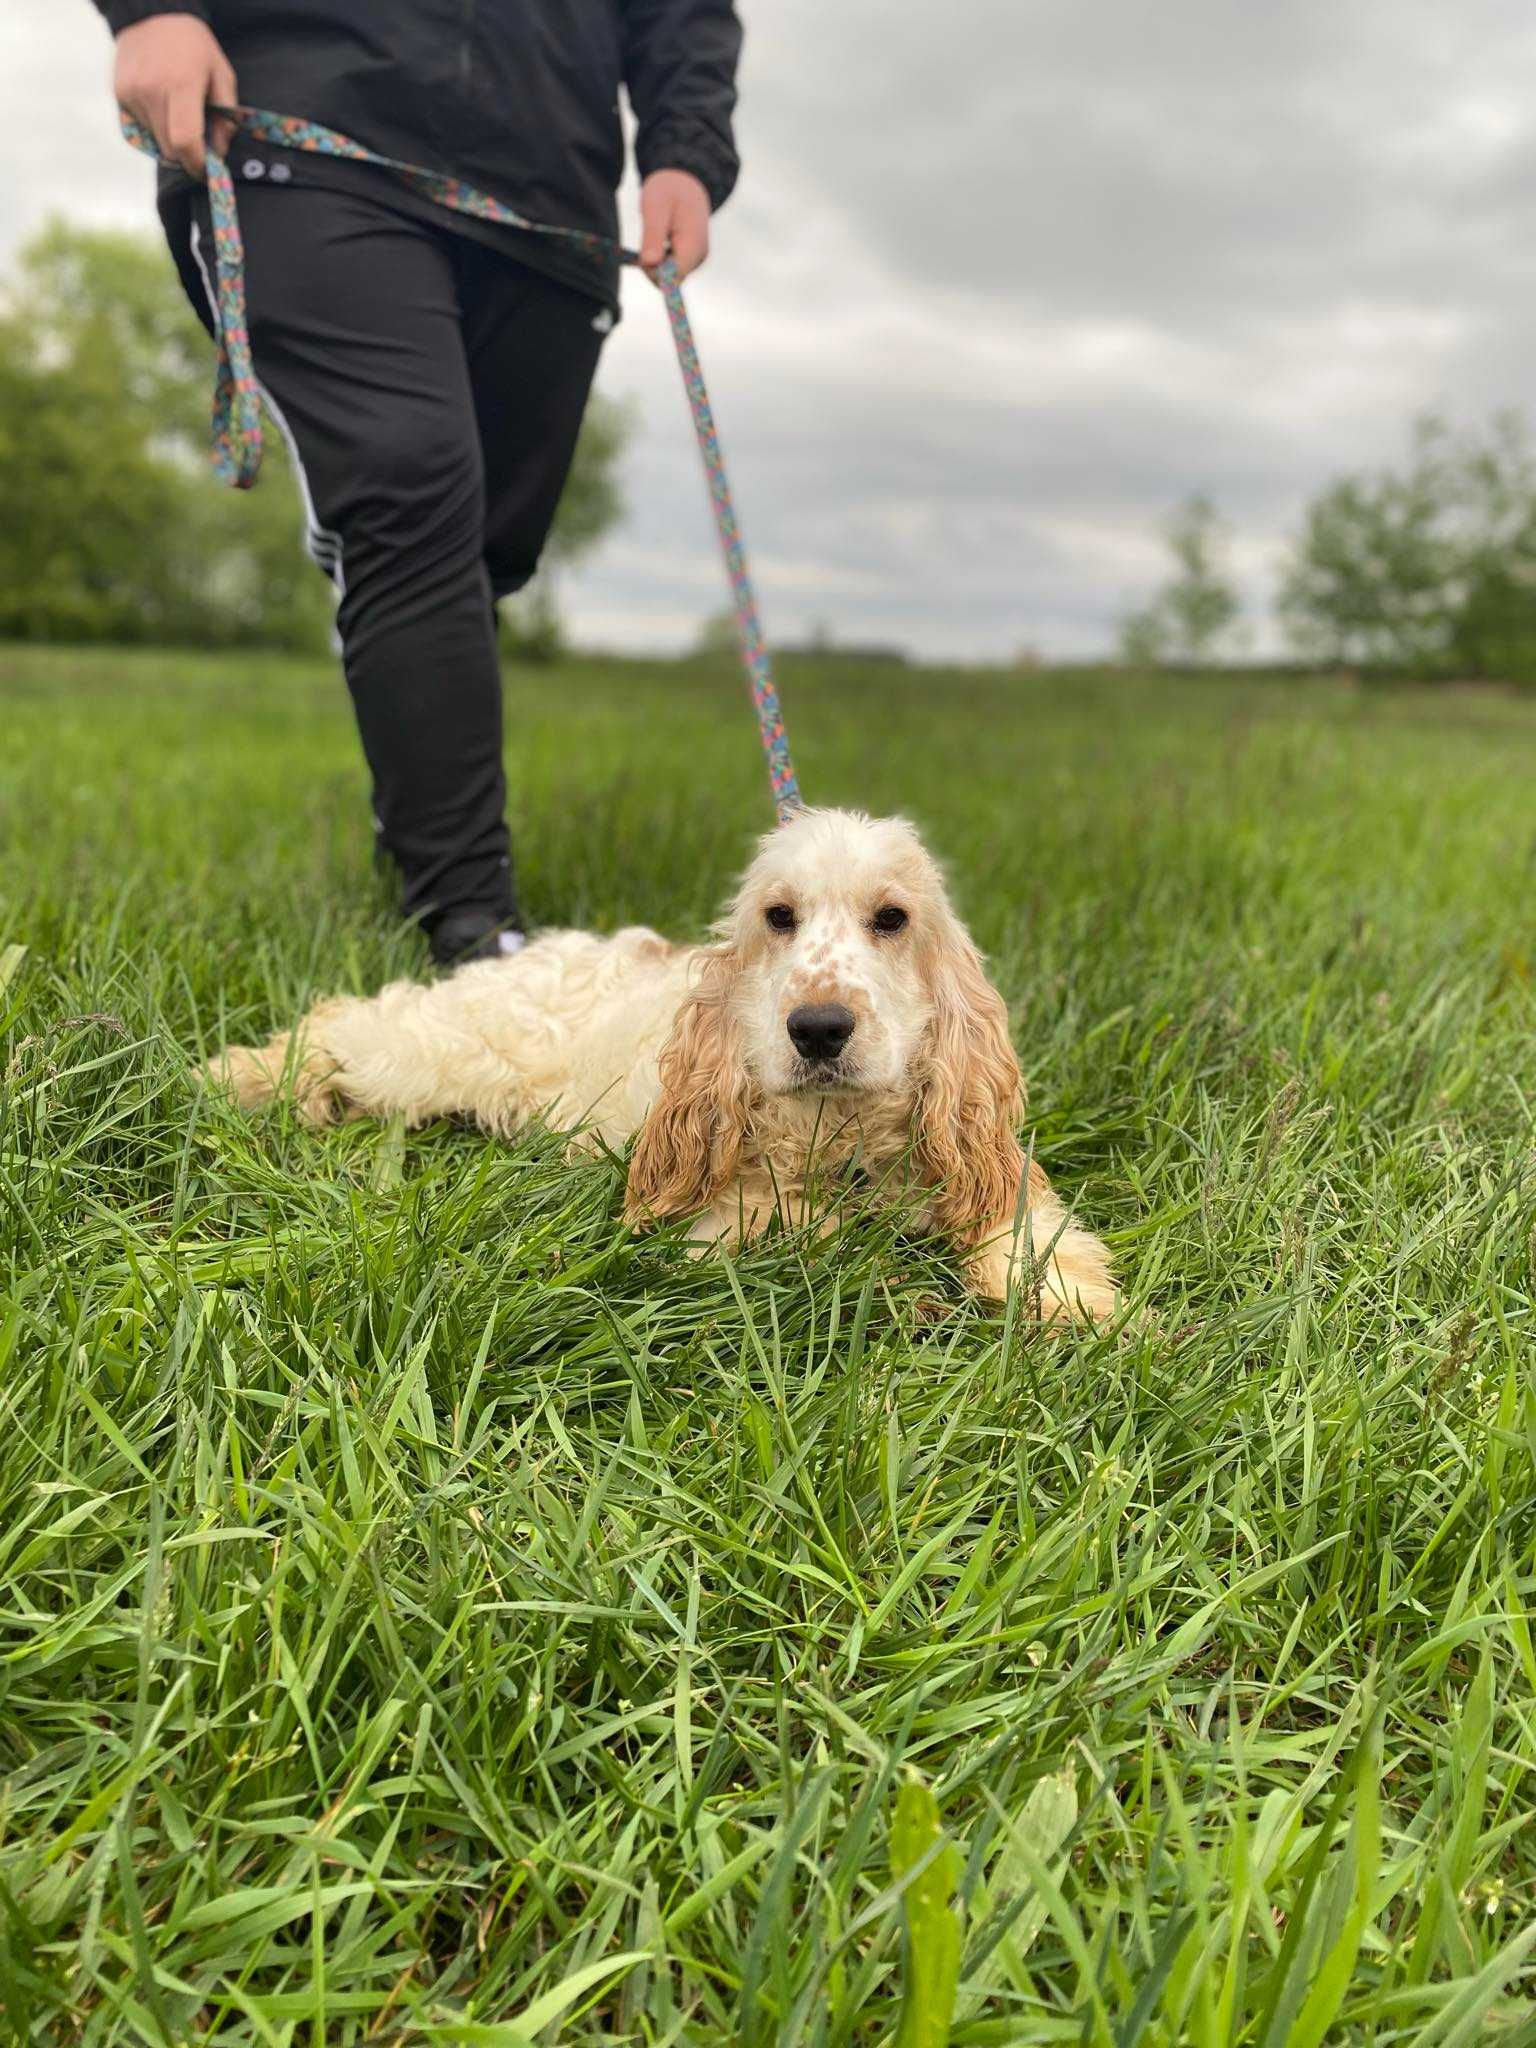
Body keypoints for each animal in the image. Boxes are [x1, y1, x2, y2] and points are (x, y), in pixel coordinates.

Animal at [210, 806, 1122, 1318]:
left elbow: (1031, 1235)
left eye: (892, 918)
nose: (818, 1029)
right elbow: (797, 1224)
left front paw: (1078, 1310)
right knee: (341, 1022)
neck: (841, 1132)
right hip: (434, 1049)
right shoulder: (712, 1211)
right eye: (779, 916)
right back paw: (239, 1078)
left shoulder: (987, 1168)